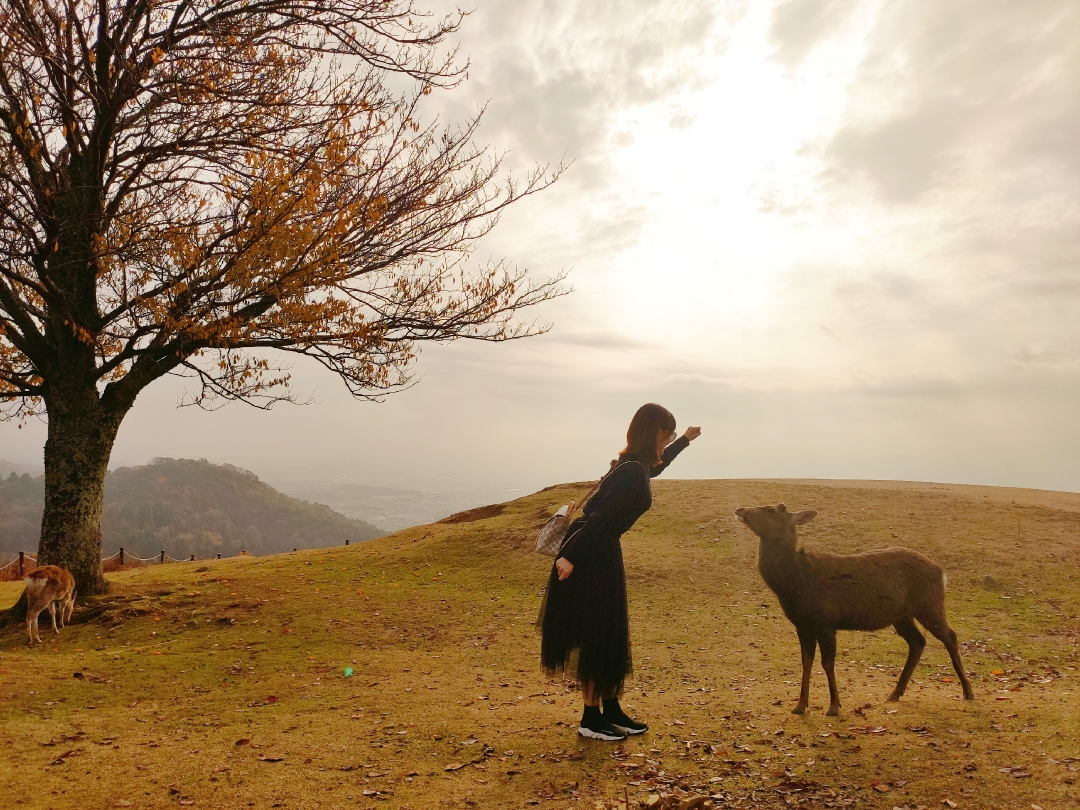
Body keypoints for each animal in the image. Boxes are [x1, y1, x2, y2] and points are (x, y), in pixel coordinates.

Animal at [734, 505, 972, 721]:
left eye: (771, 510)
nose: (740, 509)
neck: (793, 585)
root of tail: (941, 573)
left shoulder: (826, 622)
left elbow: (827, 663)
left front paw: (834, 706)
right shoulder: (802, 625)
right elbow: (806, 661)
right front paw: (800, 706)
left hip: (929, 604)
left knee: (950, 636)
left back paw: (968, 692)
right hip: (901, 615)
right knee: (918, 641)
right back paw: (895, 693)